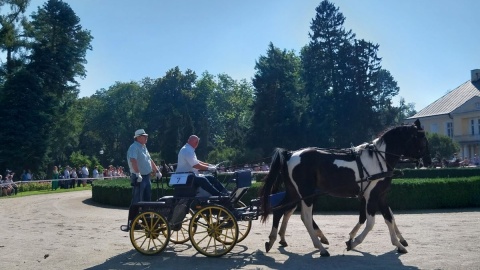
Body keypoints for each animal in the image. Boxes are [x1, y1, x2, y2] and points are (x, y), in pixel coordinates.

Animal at [258, 119, 432, 256]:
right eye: (423, 140)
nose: (428, 161)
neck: (379, 159)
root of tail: (290, 153)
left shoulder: (381, 196)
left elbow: (389, 218)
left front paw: (399, 244)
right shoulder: (371, 197)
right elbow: (370, 222)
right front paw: (353, 242)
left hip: (295, 193)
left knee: (280, 210)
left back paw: (273, 239)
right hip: (306, 194)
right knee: (305, 217)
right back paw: (320, 247)